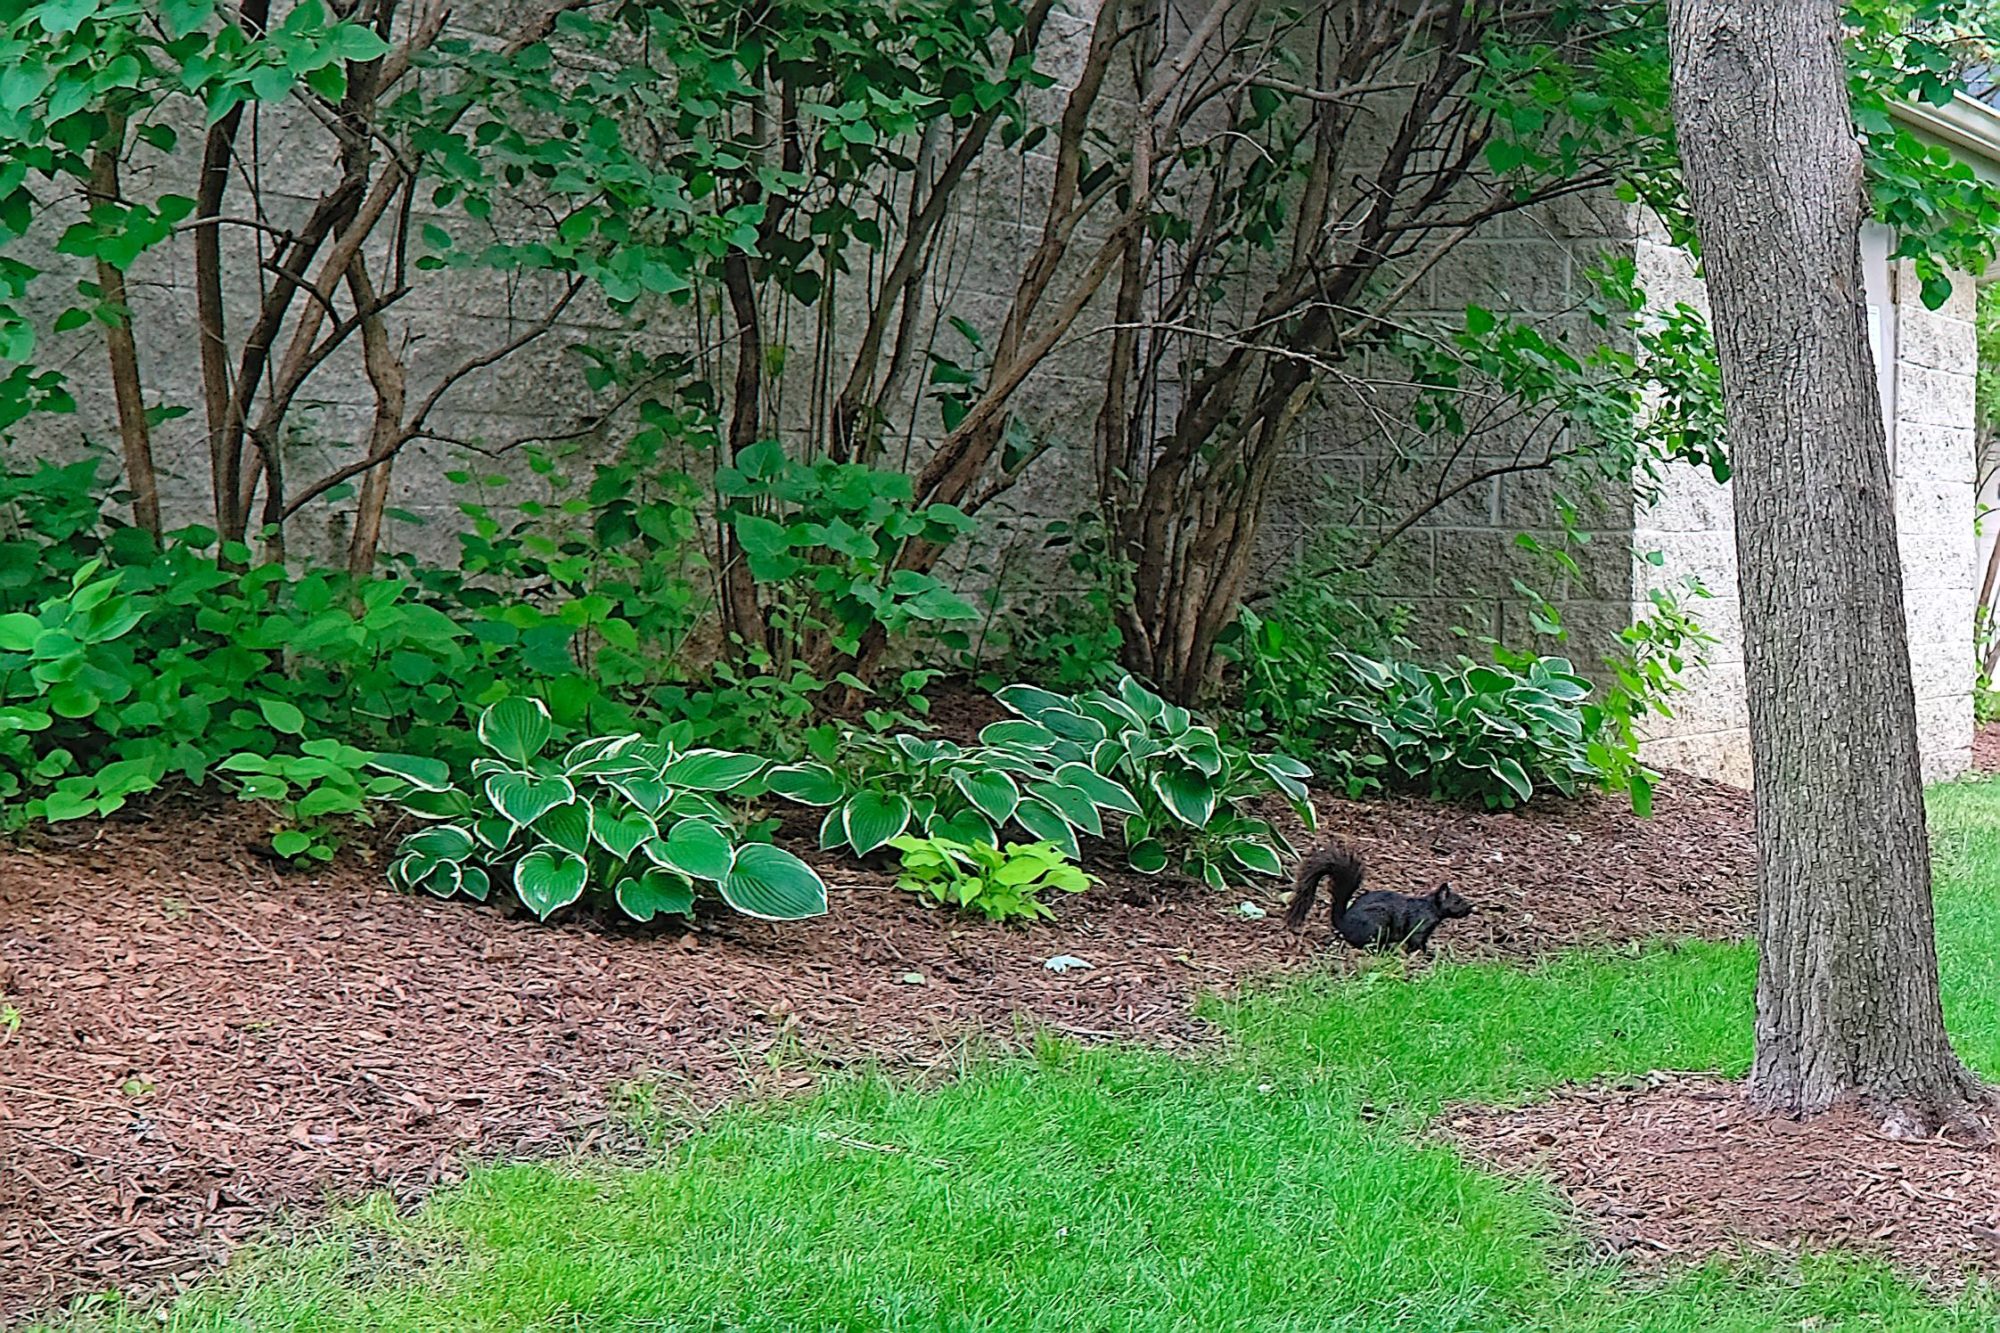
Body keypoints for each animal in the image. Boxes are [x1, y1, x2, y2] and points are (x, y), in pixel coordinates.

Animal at [1280, 840, 1472, 944]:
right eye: (1457, 901)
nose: (1471, 908)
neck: (1431, 907)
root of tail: (1343, 923)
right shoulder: (1420, 925)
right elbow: (1416, 941)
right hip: (1377, 922)